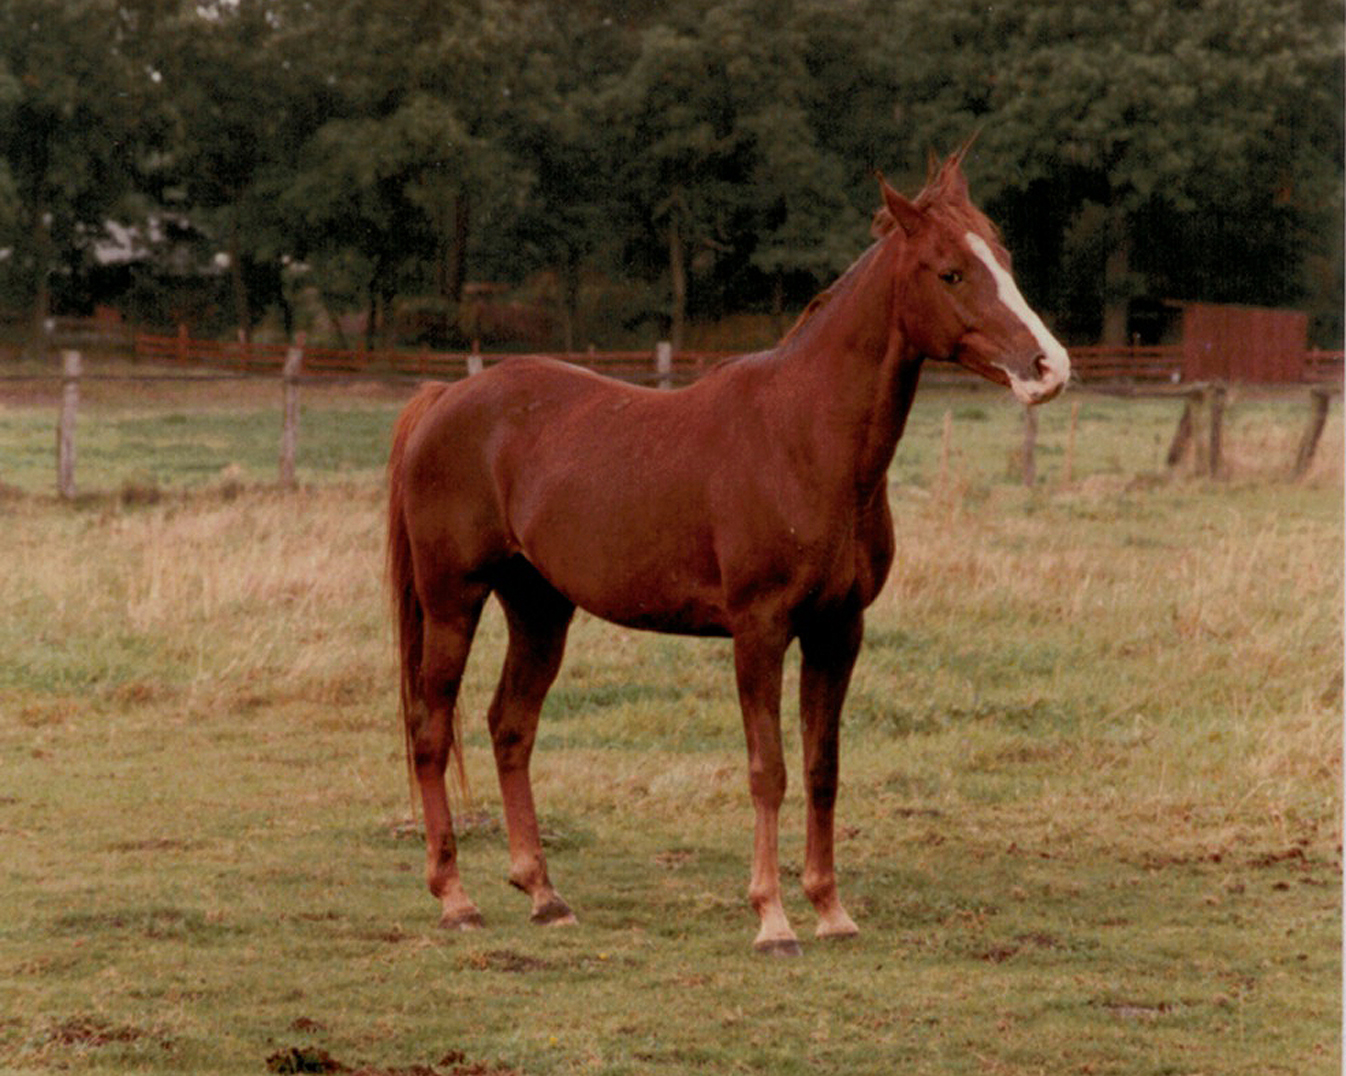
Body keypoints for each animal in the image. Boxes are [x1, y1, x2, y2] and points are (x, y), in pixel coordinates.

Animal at [384, 149, 1066, 953]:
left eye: (1004, 259)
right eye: (951, 272)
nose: (1047, 367)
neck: (803, 439)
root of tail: (445, 399)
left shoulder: (839, 630)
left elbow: (823, 767)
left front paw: (831, 910)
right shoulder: (759, 630)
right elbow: (768, 769)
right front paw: (772, 918)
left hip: (540, 608)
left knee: (510, 727)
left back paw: (545, 893)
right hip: (453, 600)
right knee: (431, 731)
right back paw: (455, 898)